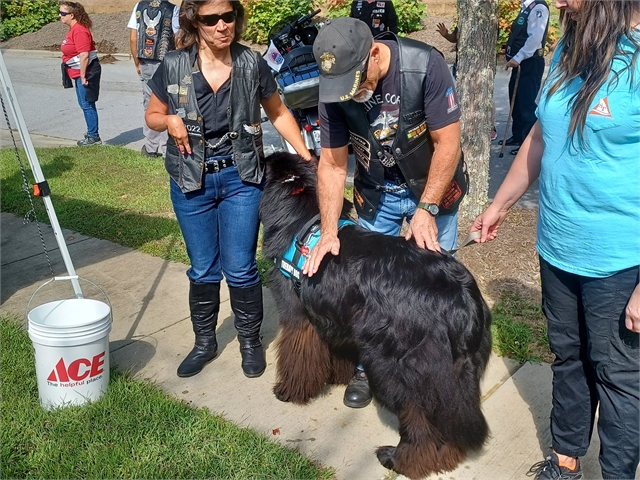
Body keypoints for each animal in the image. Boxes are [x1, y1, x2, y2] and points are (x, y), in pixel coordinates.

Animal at [258, 152, 492, 478]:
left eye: (263, 165)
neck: (301, 218)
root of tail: (461, 300)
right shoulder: (337, 317)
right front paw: (340, 377)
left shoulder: (298, 317)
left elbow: (297, 357)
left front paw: (288, 391)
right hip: (454, 377)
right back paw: (444, 458)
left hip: (399, 369)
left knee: (420, 420)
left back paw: (401, 459)